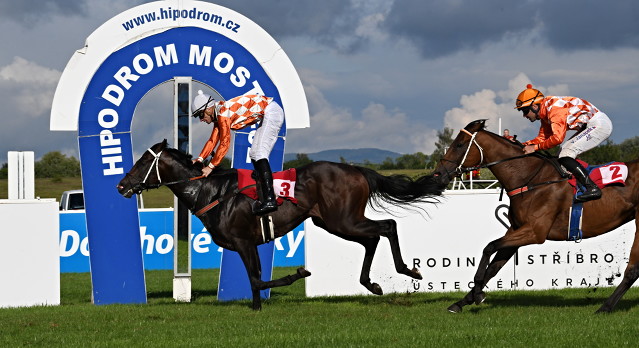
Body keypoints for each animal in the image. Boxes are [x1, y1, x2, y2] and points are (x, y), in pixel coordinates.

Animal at [117, 140, 442, 312]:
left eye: (143, 161)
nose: (121, 185)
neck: (210, 192)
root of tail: (356, 170)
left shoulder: (243, 242)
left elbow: (258, 279)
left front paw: (297, 274)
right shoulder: (248, 243)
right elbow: (256, 279)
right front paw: (257, 306)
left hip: (343, 219)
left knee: (387, 226)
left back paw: (408, 270)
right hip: (334, 223)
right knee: (372, 238)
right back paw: (371, 284)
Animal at [436, 119, 639, 312]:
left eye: (459, 145)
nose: (438, 174)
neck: (530, 179)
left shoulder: (535, 232)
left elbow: (488, 247)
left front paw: (477, 292)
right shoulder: (516, 230)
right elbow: (494, 266)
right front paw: (462, 301)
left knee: (632, 269)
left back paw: (605, 307)